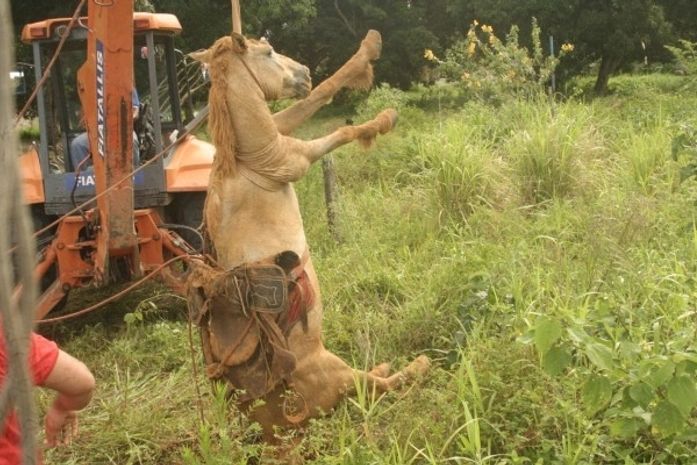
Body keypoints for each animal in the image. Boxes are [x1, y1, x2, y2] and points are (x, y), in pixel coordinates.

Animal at [186, 30, 430, 443]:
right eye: (268, 52)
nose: (303, 73)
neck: (248, 159)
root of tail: (270, 423)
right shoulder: (296, 158)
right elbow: (342, 129)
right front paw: (382, 120)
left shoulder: (281, 131)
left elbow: (316, 99)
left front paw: (368, 50)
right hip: (337, 372)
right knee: (378, 387)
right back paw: (417, 365)